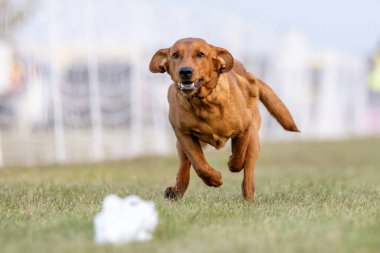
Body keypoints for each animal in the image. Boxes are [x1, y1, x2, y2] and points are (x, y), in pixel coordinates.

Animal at [148, 37, 300, 201]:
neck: (204, 102)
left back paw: (248, 196)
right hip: (181, 144)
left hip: (254, 138)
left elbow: (239, 155)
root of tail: (249, 75)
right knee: (184, 166)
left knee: (248, 169)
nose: (185, 71)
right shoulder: (183, 134)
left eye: (200, 54)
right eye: (175, 55)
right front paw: (214, 179)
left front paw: (231, 164)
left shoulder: (245, 128)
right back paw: (176, 191)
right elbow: (199, 163)